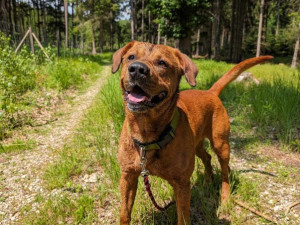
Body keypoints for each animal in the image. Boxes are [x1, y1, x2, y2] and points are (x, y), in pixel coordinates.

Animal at [112, 41, 272, 224]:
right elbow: (125, 213)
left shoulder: (182, 185)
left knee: (225, 171)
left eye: (162, 63)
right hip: (196, 146)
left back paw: (225, 197)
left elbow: (183, 218)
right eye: (131, 57)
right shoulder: (128, 177)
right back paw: (208, 181)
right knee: (207, 157)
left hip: (221, 144)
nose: (137, 69)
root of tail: (210, 92)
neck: (146, 133)